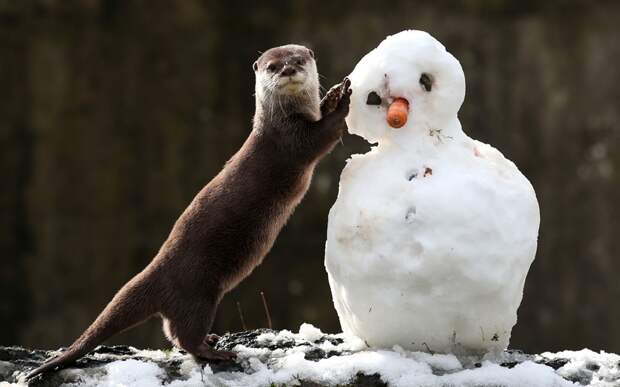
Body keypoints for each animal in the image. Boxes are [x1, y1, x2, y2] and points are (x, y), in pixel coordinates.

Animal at [26, 45, 352, 382]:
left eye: (298, 60)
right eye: (272, 67)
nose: (288, 70)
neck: (282, 120)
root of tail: (157, 272)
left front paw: (331, 95)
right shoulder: (291, 141)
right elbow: (323, 136)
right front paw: (343, 101)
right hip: (198, 293)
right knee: (183, 335)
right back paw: (216, 351)